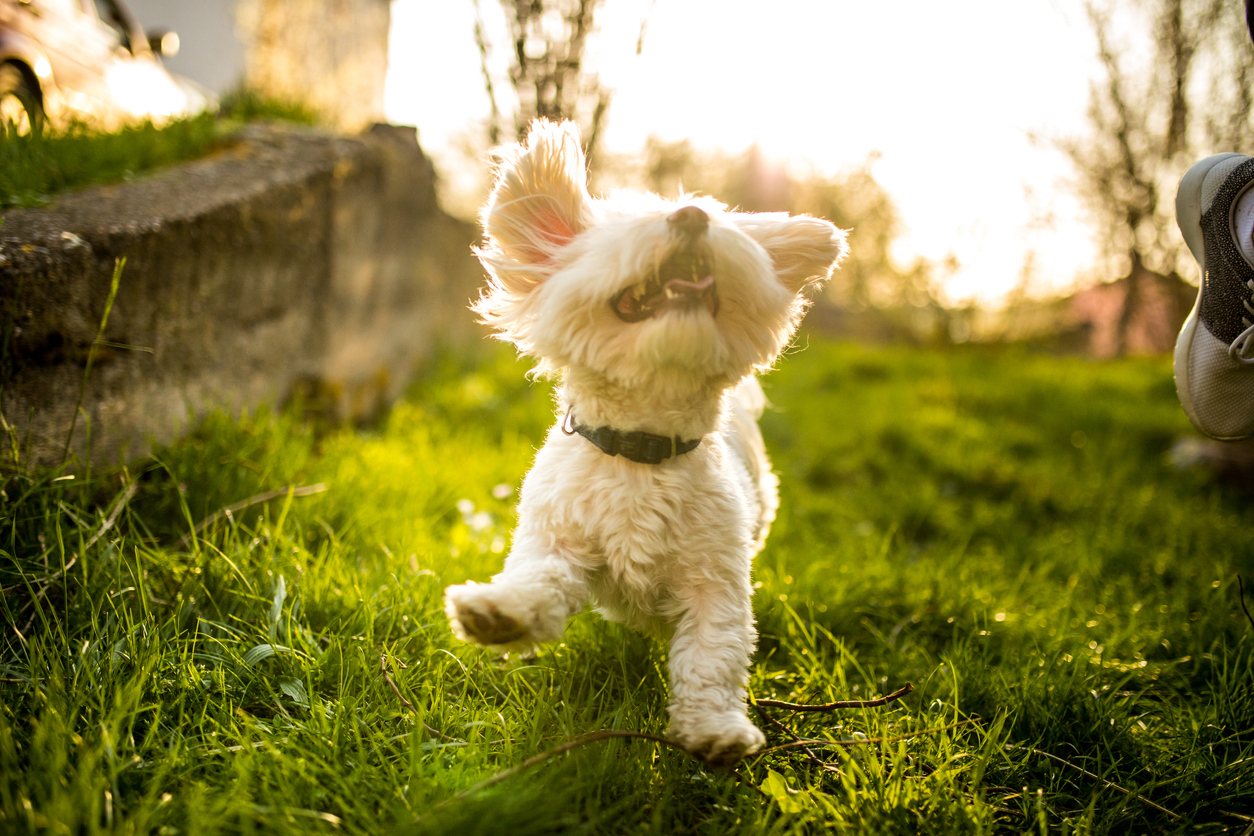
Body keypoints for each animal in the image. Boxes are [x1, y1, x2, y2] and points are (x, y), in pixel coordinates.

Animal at [441, 120, 842, 767]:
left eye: (714, 217)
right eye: (634, 226)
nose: (691, 217)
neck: (640, 450)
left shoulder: (716, 581)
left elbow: (713, 654)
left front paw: (714, 729)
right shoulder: (559, 540)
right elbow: (541, 581)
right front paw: (502, 615)